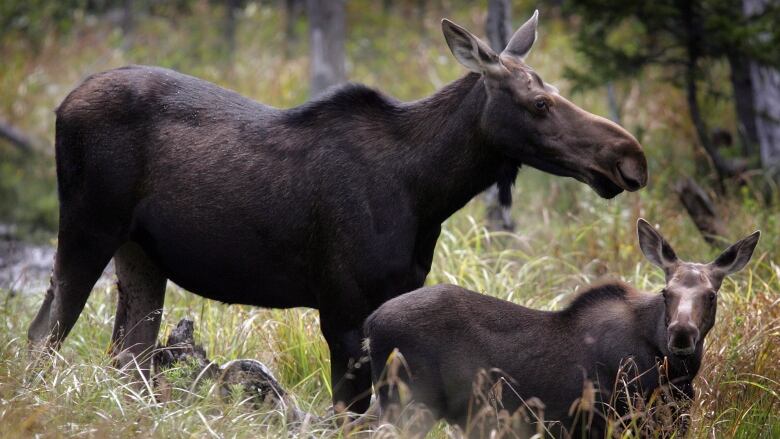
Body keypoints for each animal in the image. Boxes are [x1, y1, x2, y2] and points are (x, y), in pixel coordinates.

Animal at [27, 12, 644, 414]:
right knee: (43, 333)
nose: (630, 156)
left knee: (125, 358)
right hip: (86, 228)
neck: (427, 192)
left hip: (140, 255)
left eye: (556, 90)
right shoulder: (343, 310)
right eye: (540, 103)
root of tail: (60, 104)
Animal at [368, 220, 760, 436]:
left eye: (711, 295)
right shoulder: (614, 419)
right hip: (408, 403)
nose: (680, 334)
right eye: (667, 292)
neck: (677, 373)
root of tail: (370, 324)